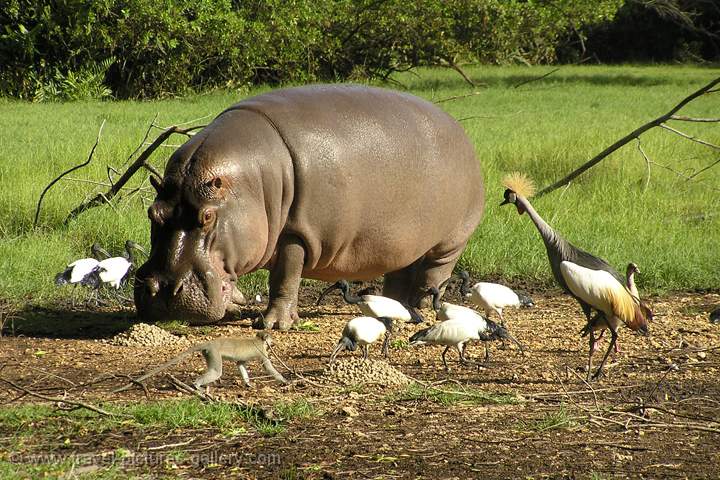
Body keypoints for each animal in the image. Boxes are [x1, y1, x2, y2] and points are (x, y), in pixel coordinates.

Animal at [114, 332, 288, 392]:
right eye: (271, 338)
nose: (272, 342)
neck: (259, 339)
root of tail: (209, 344)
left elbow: (240, 364)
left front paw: (248, 383)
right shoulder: (262, 350)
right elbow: (268, 366)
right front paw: (285, 381)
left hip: (208, 354)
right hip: (214, 354)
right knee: (216, 372)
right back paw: (197, 385)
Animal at [135, 83, 484, 330]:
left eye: (207, 216)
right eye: (153, 213)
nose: (162, 290)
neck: (254, 184)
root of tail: (460, 130)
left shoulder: (297, 233)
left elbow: (285, 276)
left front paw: (273, 324)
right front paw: (235, 304)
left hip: (451, 240)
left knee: (435, 273)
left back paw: (420, 307)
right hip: (404, 241)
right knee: (400, 271)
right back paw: (393, 305)